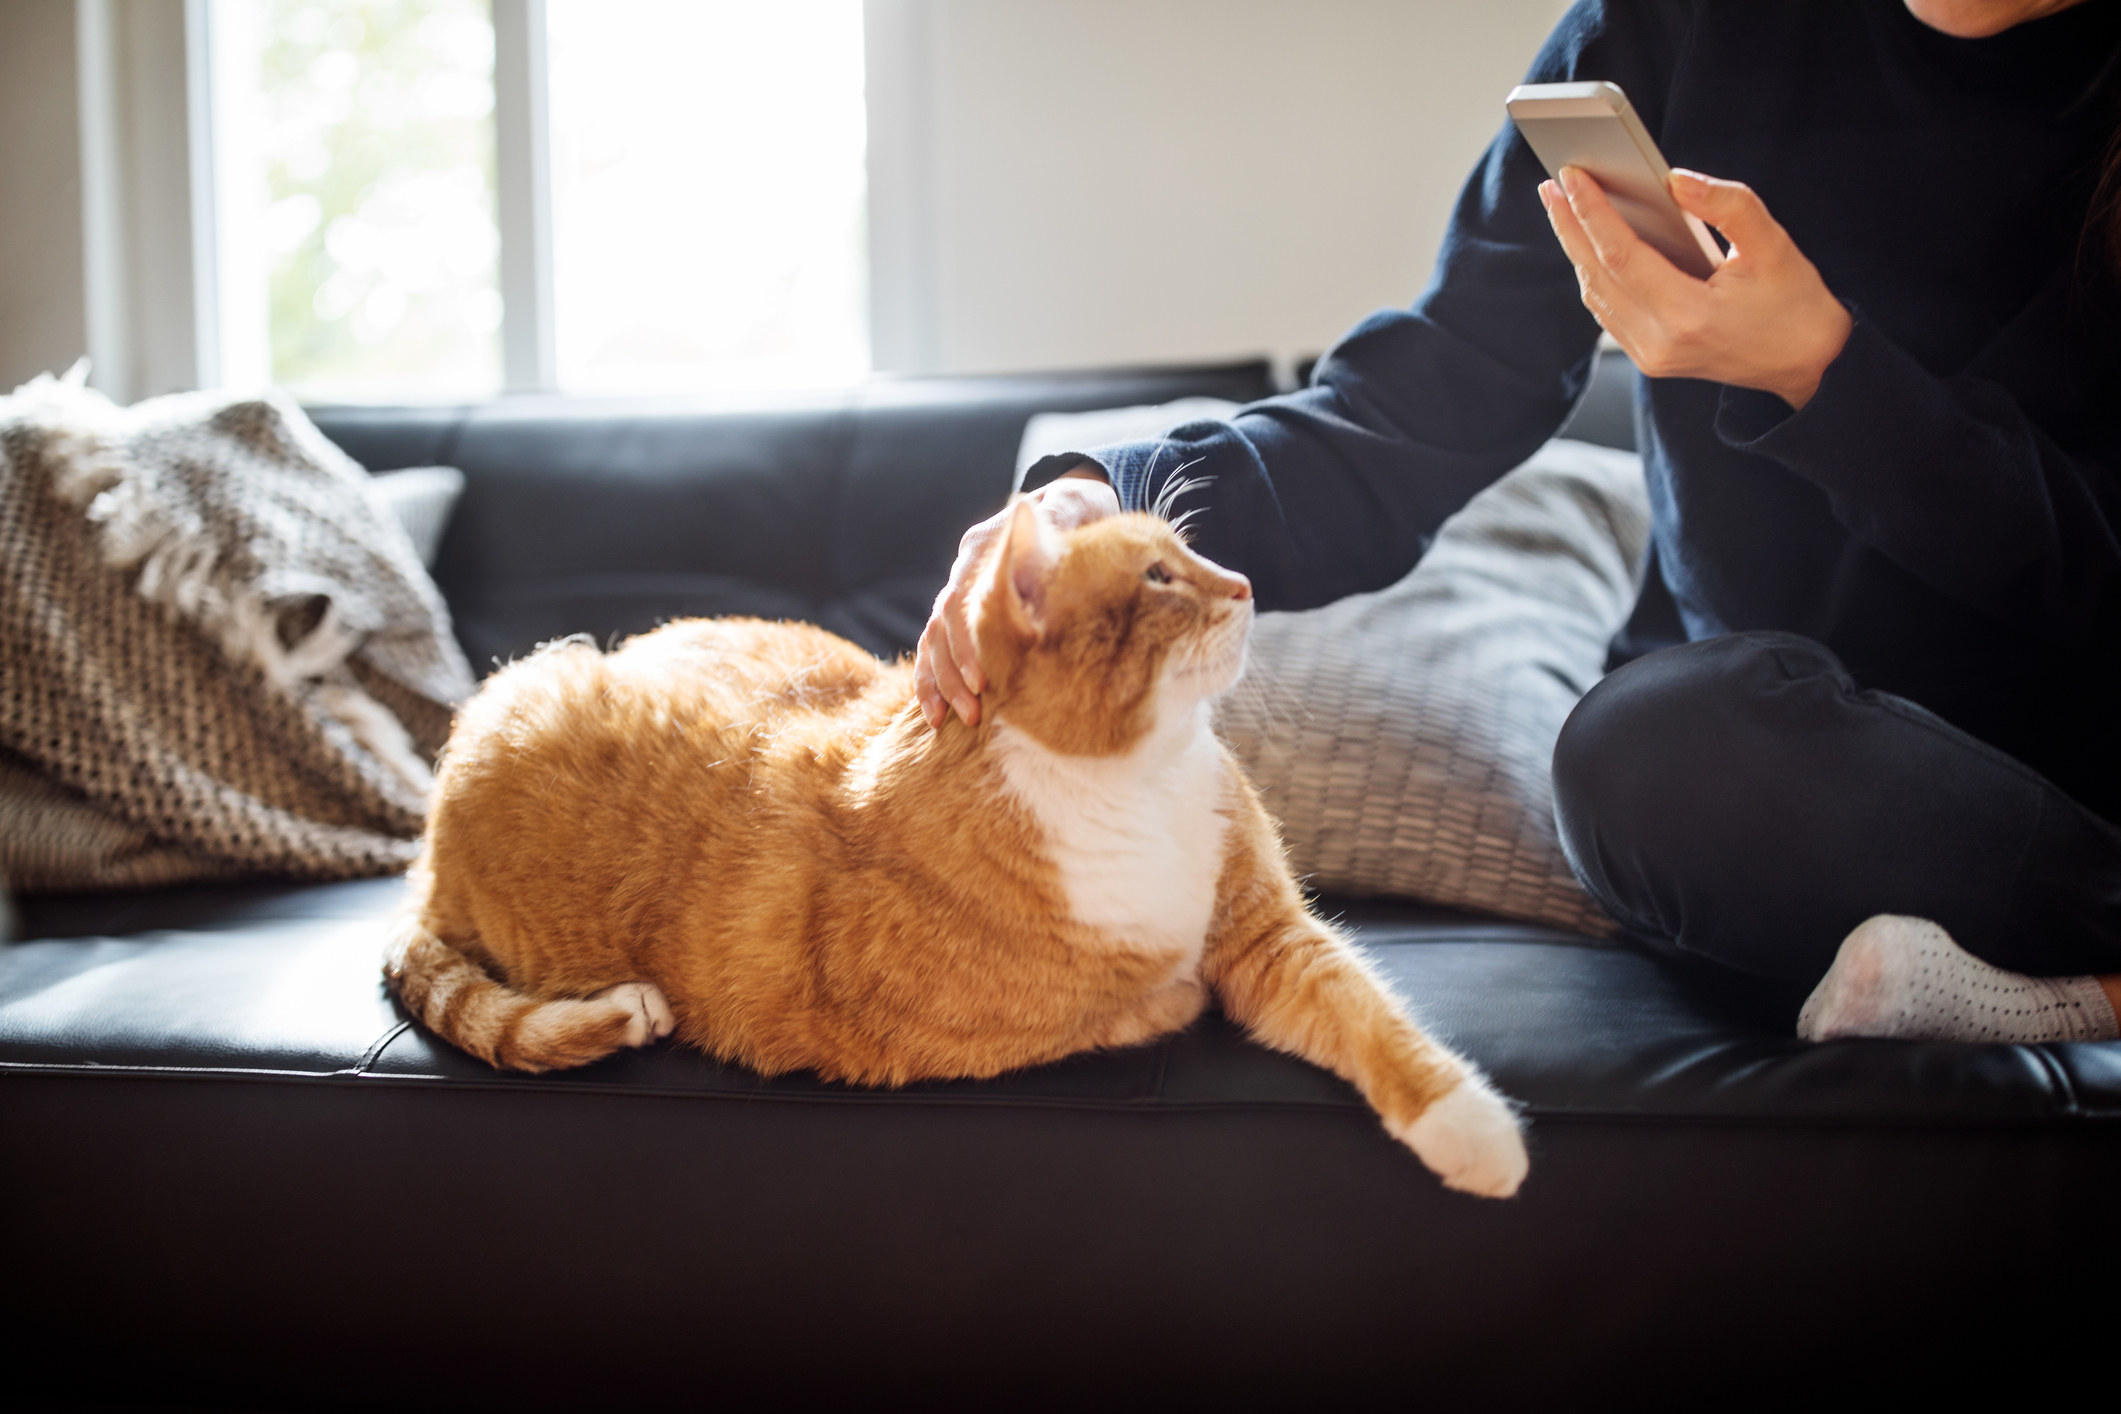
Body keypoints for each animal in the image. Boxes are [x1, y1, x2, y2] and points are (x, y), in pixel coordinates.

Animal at [386, 498, 1527, 1195]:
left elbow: (1369, 1014)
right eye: (1160, 579)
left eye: (1191, 553)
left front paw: (1470, 1131)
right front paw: (1163, 997)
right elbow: (1136, 1002)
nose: (1245, 581)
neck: (1136, 782)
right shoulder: (899, 1040)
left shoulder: (1268, 934)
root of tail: (425, 857)